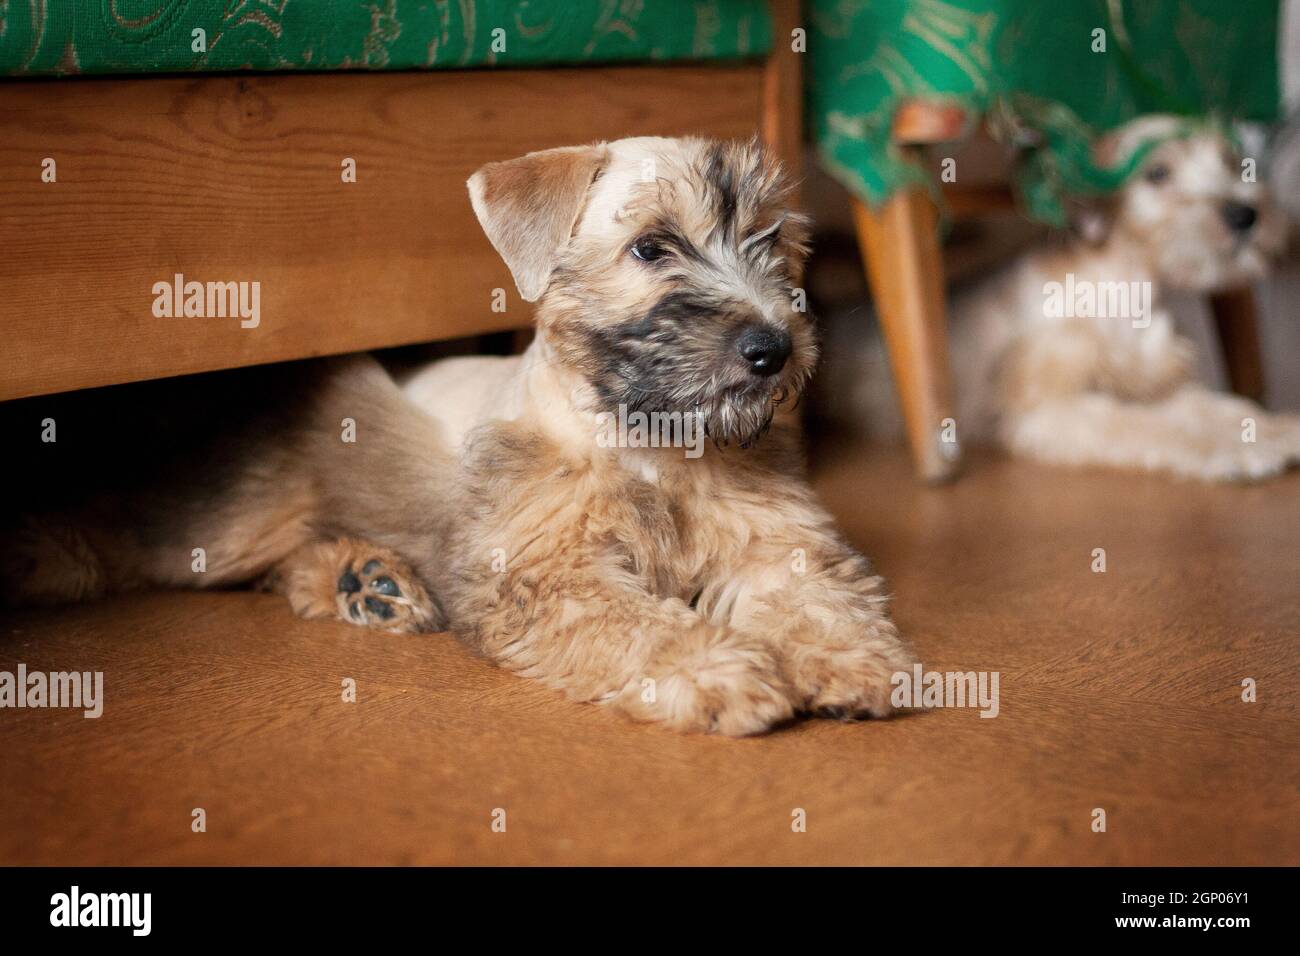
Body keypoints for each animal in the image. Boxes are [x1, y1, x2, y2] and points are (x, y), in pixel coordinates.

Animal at [5, 134, 915, 738]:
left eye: (771, 243)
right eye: (652, 247)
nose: (774, 348)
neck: (652, 447)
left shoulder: (777, 541)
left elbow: (814, 596)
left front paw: (852, 660)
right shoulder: (548, 576)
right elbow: (640, 623)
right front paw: (718, 671)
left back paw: (364, 581)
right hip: (235, 519)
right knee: (147, 539)